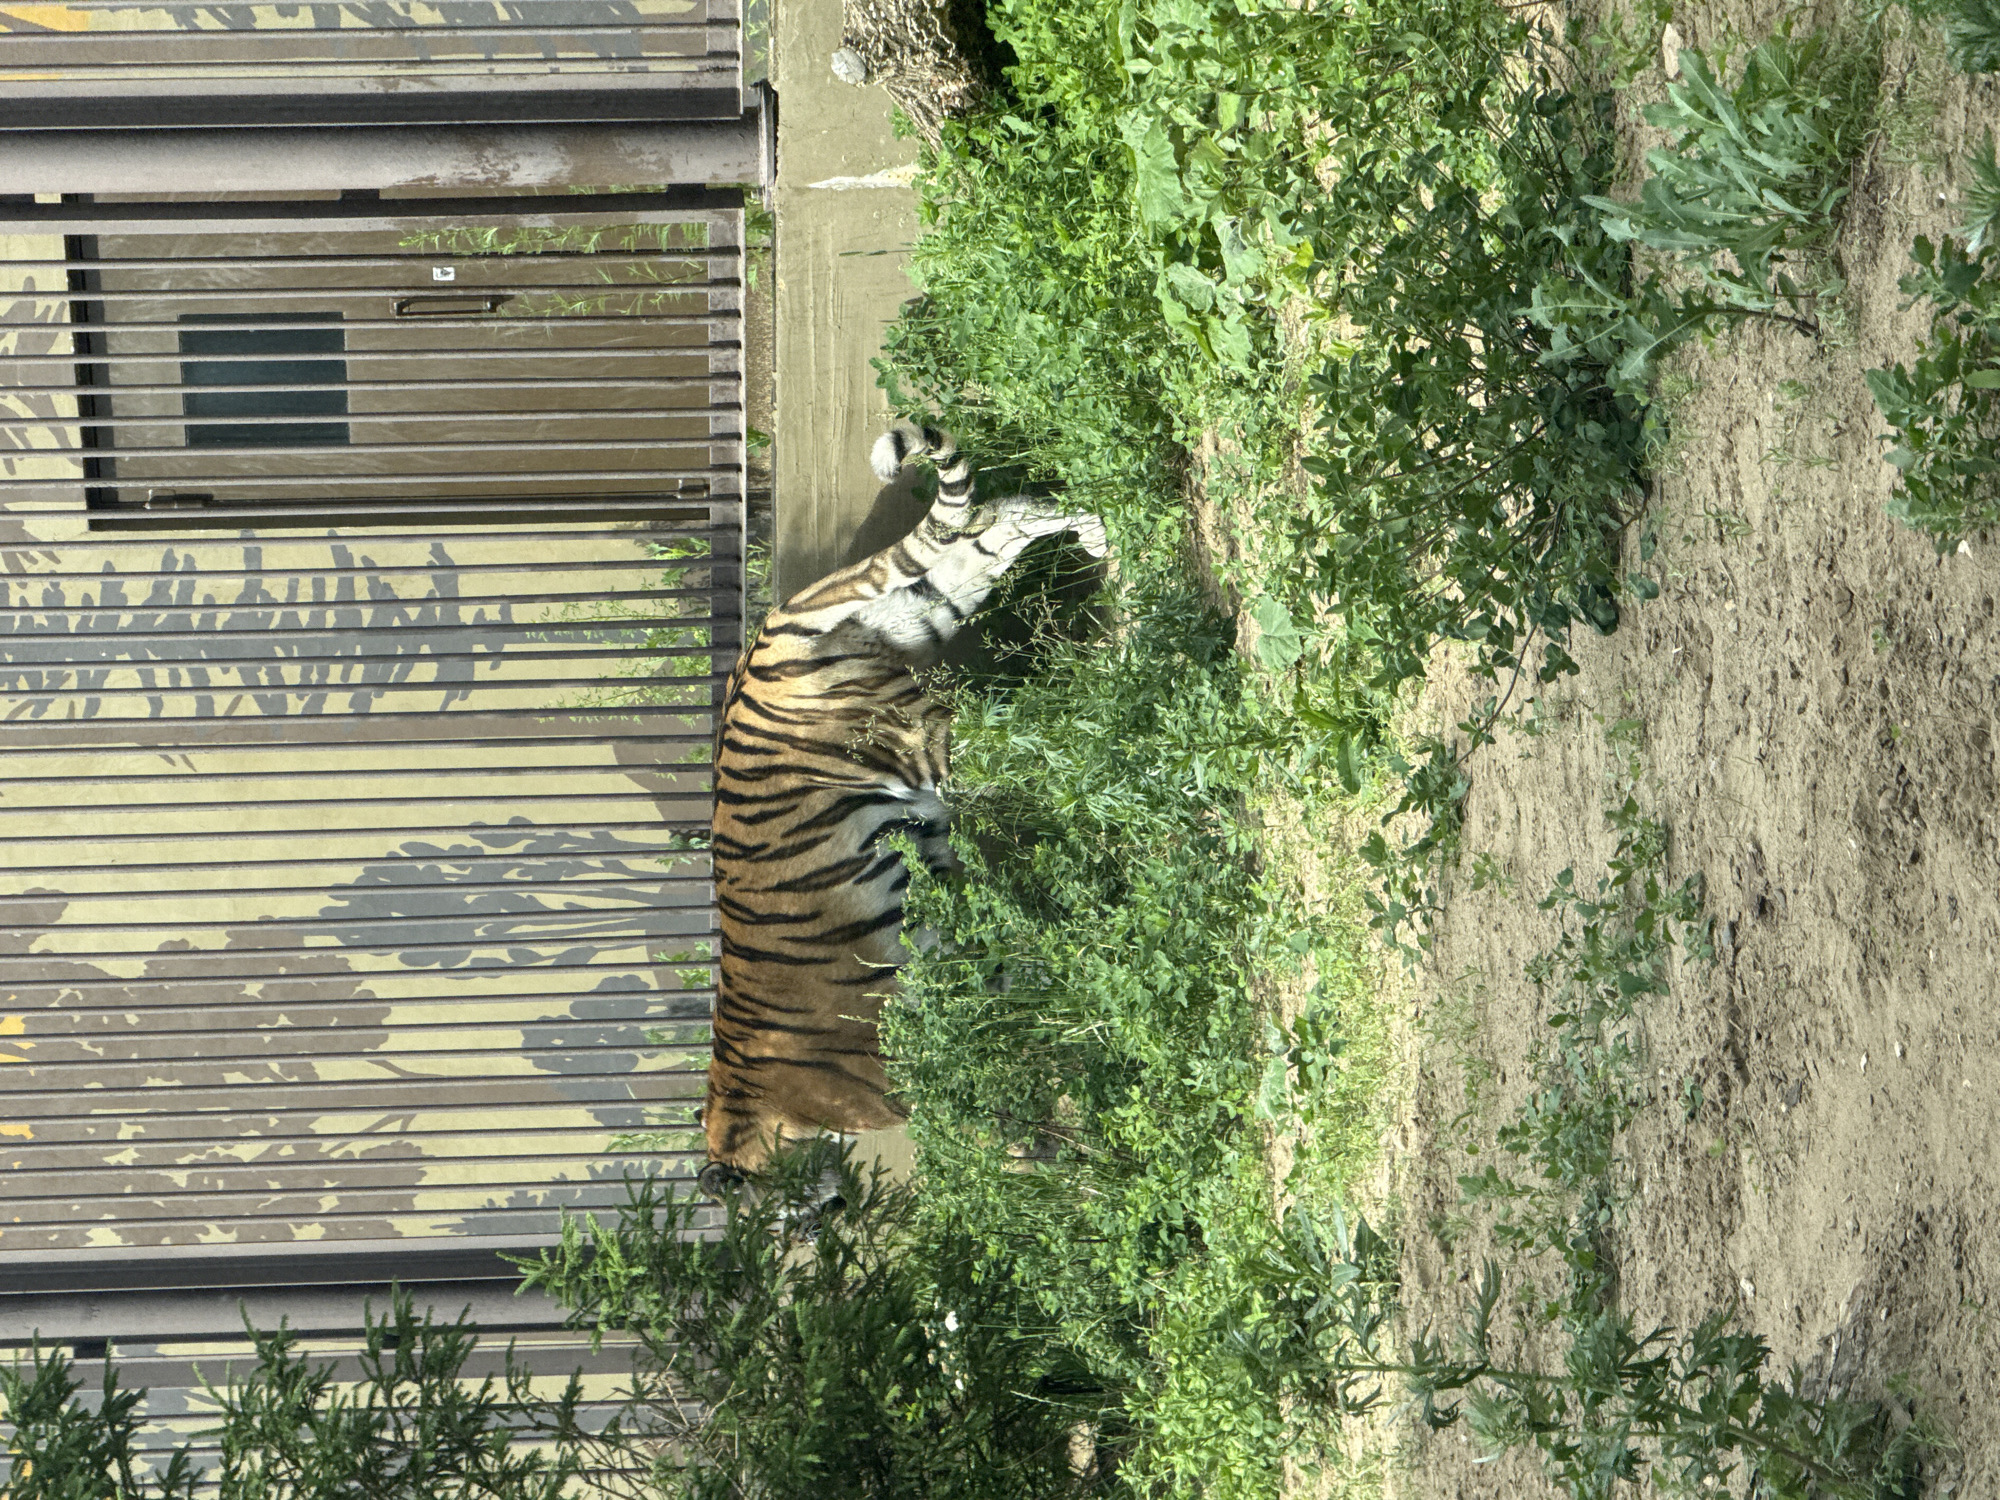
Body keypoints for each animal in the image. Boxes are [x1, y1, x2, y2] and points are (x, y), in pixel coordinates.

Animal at [696, 423, 1106, 1203]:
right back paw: (1103, 532)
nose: (831, 1209)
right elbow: (1031, 968)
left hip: (920, 736)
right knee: (1003, 519)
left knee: (1049, 726)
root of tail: (770, 631)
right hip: (934, 601)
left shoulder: (899, 1073)